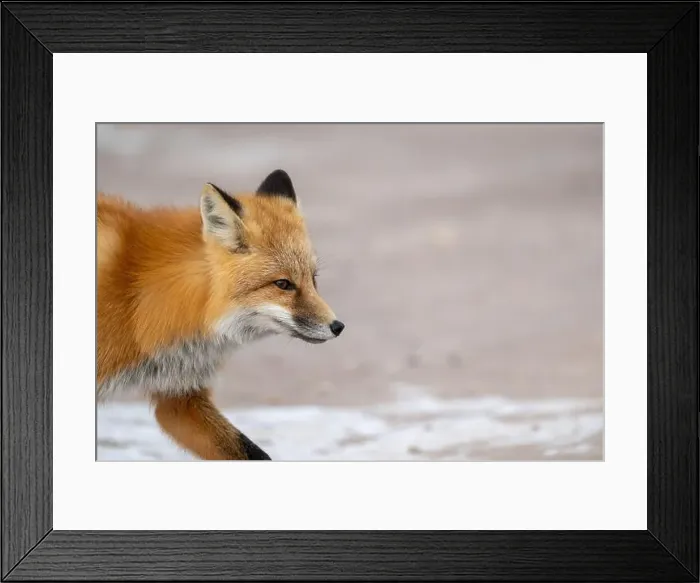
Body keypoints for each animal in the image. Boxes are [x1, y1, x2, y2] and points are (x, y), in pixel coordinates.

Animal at [97, 169, 344, 461]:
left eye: (313, 280)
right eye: (283, 284)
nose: (337, 326)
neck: (136, 299)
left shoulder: (180, 397)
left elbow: (251, 453)